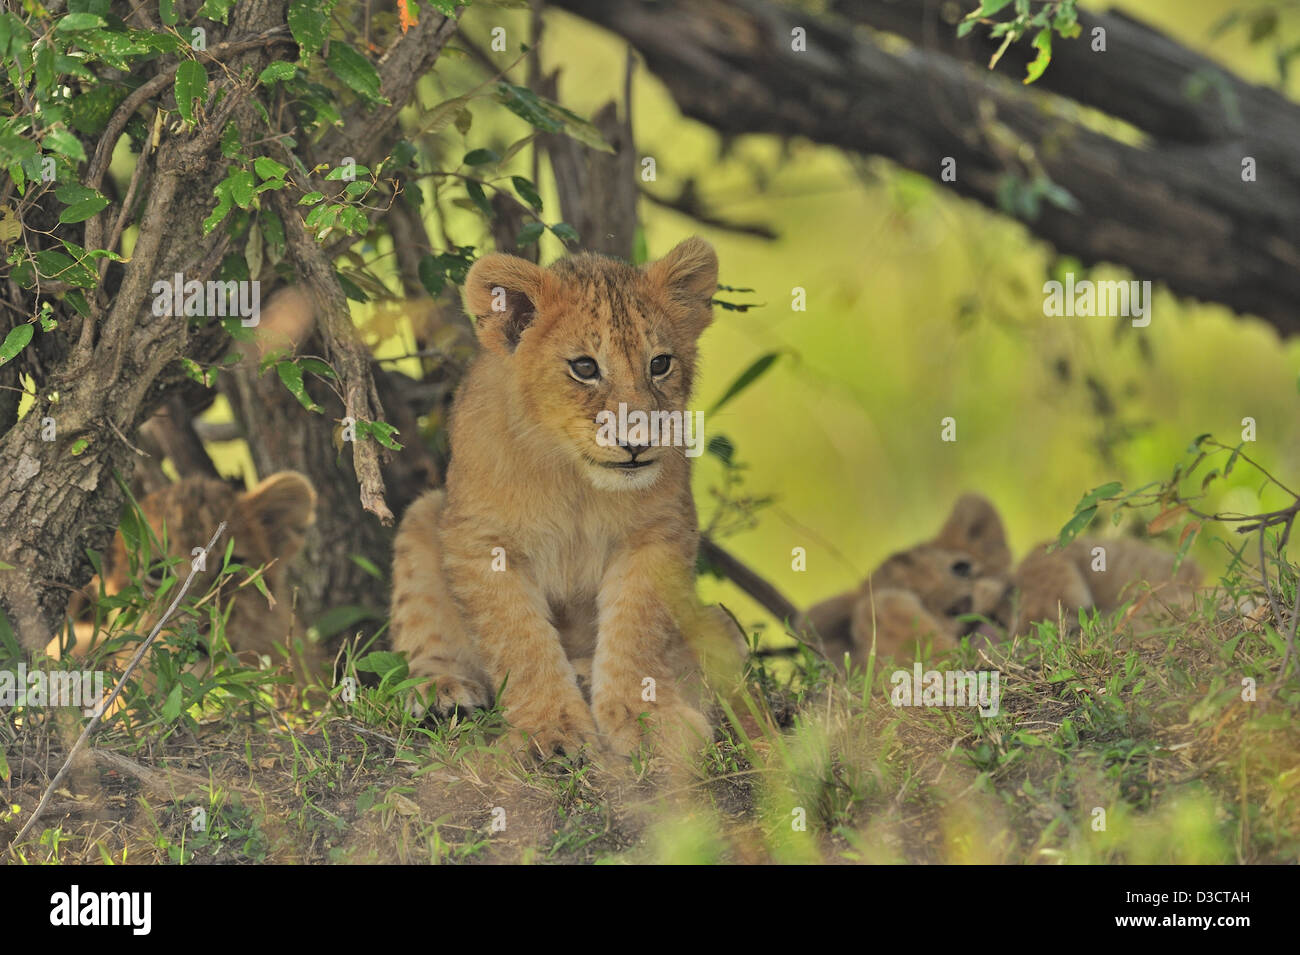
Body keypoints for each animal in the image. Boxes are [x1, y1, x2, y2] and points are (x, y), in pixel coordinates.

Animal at [389, 237, 745, 759]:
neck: (577, 479)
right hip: (424, 513)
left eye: (660, 363)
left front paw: (644, 720)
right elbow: (519, 640)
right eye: (584, 368)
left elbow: (637, 631)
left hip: (719, 625)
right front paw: (550, 729)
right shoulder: (482, 540)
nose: (637, 440)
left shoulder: (658, 531)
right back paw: (441, 687)